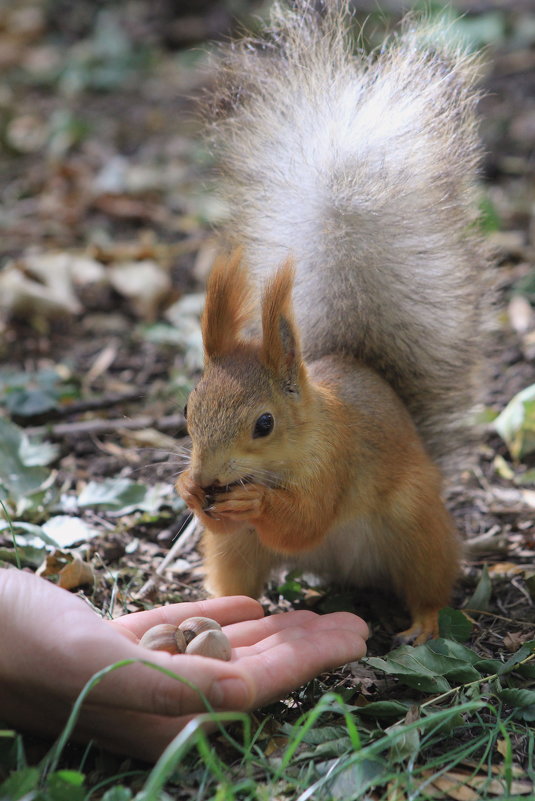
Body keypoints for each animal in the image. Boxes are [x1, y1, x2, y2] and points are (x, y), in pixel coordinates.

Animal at [177, 0, 490, 644]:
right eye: (186, 411)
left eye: (264, 424)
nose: (211, 477)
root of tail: (341, 572)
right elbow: (225, 523)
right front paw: (188, 490)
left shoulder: (338, 459)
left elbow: (305, 519)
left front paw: (255, 505)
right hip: (243, 555)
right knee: (238, 570)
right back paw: (217, 605)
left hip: (416, 526)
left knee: (429, 581)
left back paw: (423, 624)